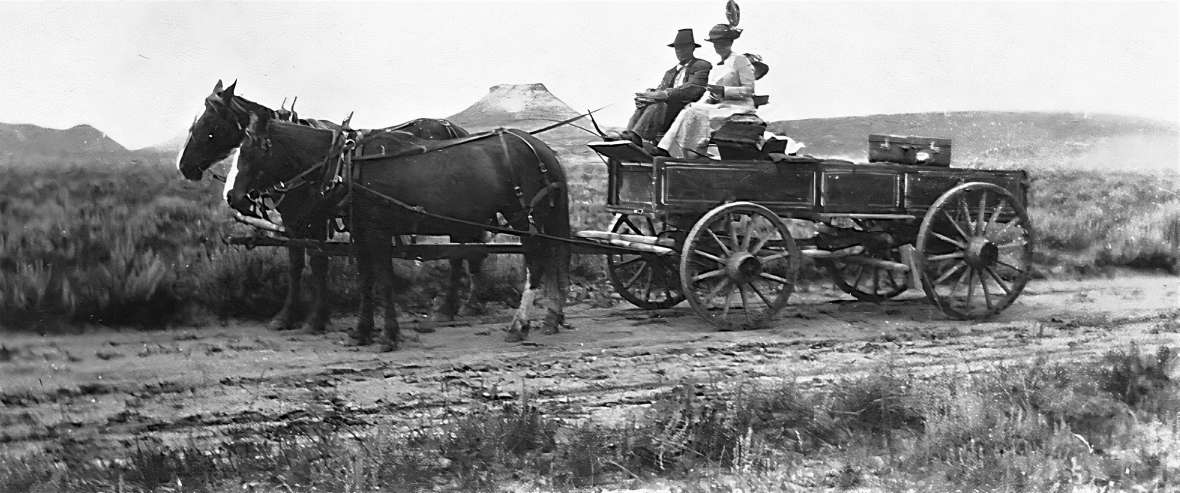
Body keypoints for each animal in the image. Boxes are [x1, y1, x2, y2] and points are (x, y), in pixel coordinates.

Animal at [173, 80, 483, 332]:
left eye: (210, 125)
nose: (184, 166)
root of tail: (455, 128)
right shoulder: (295, 220)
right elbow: (297, 263)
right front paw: (290, 316)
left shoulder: (314, 219)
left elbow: (317, 262)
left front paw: (314, 319)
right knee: (462, 250)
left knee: (460, 251)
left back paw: (452, 307)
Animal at [225, 112, 571, 351]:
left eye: (252, 151)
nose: (232, 197)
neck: (347, 165)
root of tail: (541, 148)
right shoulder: (361, 233)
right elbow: (366, 281)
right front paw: (361, 331)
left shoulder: (378, 232)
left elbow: (384, 280)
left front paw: (389, 336)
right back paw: (551, 318)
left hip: (522, 215)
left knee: (535, 261)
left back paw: (519, 325)